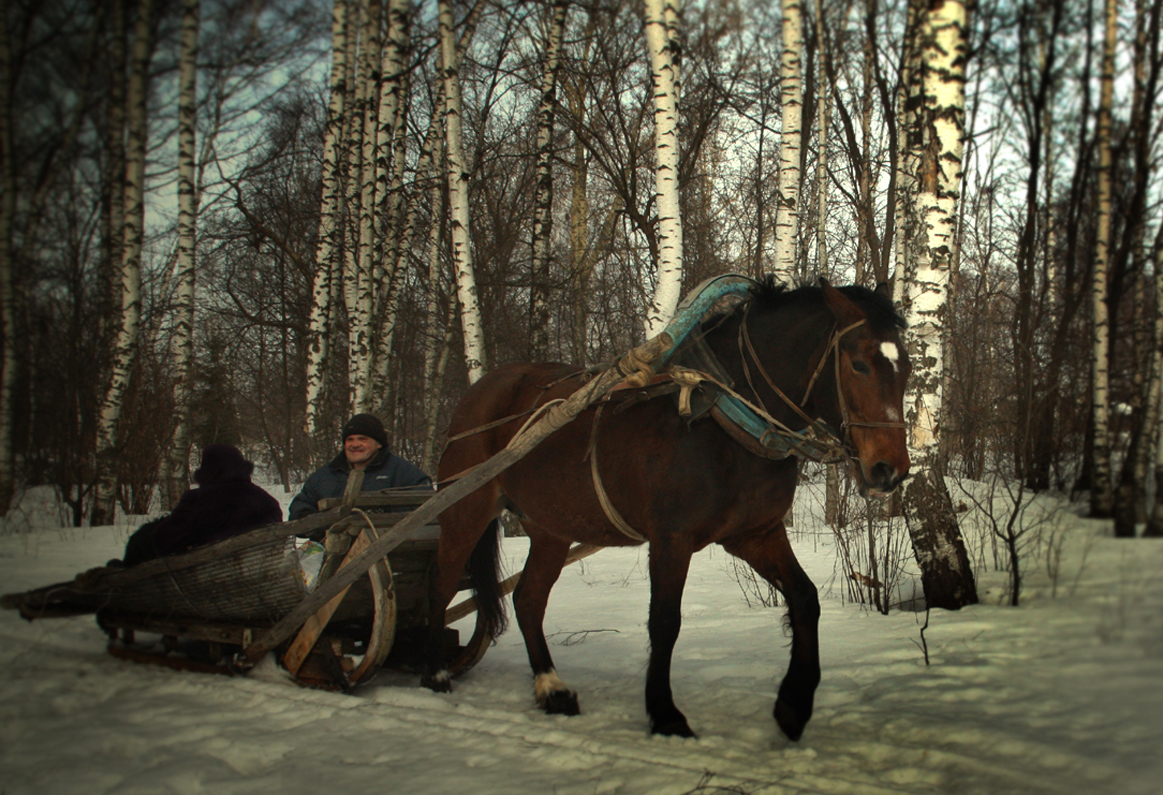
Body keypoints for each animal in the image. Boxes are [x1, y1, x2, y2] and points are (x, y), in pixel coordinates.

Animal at [423, 277, 911, 739]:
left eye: (905, 366)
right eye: (859, 363)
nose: (890, 470)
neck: (723, 416)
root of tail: (482, 389)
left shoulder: (755, 534)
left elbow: (805, 599)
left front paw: (794, 704)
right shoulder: (671, 539)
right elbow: (664, 622)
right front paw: (665, 714)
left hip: (552, 528)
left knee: (527, 599)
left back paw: (551, 688)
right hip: (466, 509)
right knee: (442, 583)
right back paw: (436, 673)